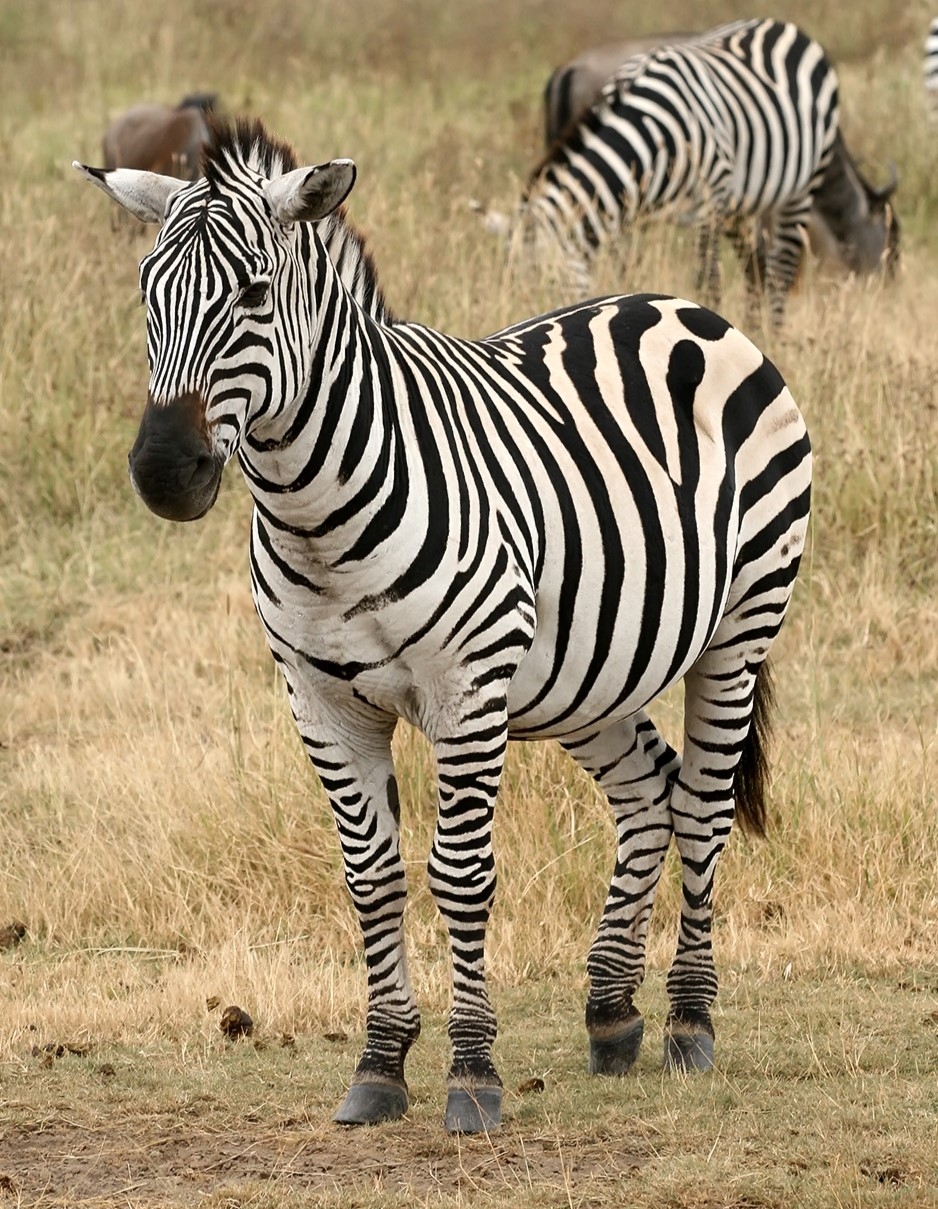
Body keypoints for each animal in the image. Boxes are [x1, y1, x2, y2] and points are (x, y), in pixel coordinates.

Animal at [74, 115, 812, 1134]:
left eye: (254, 294)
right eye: (148, 296)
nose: (162, 472)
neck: (316, 517)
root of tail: (685, 307)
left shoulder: (466, 687)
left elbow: (460, 874)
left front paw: (471, 1072)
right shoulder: (321, 702)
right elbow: (370, 876)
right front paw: (381, 1063)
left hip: (741, 624)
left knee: (701, 803)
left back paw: (690, 1022)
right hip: (586, 672)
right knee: (647, 791)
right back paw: (612, 1011)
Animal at [507, 18, 840, 324]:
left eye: (546, 283)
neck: (652, 137)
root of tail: (780, 25)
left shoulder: (710, 200)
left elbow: (708, 282)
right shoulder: (629, 211)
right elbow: (628, 270)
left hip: (802, 185)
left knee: (782, 267)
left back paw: (774, 332)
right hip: (741, 201)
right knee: (757, 261)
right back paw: (756, 327)